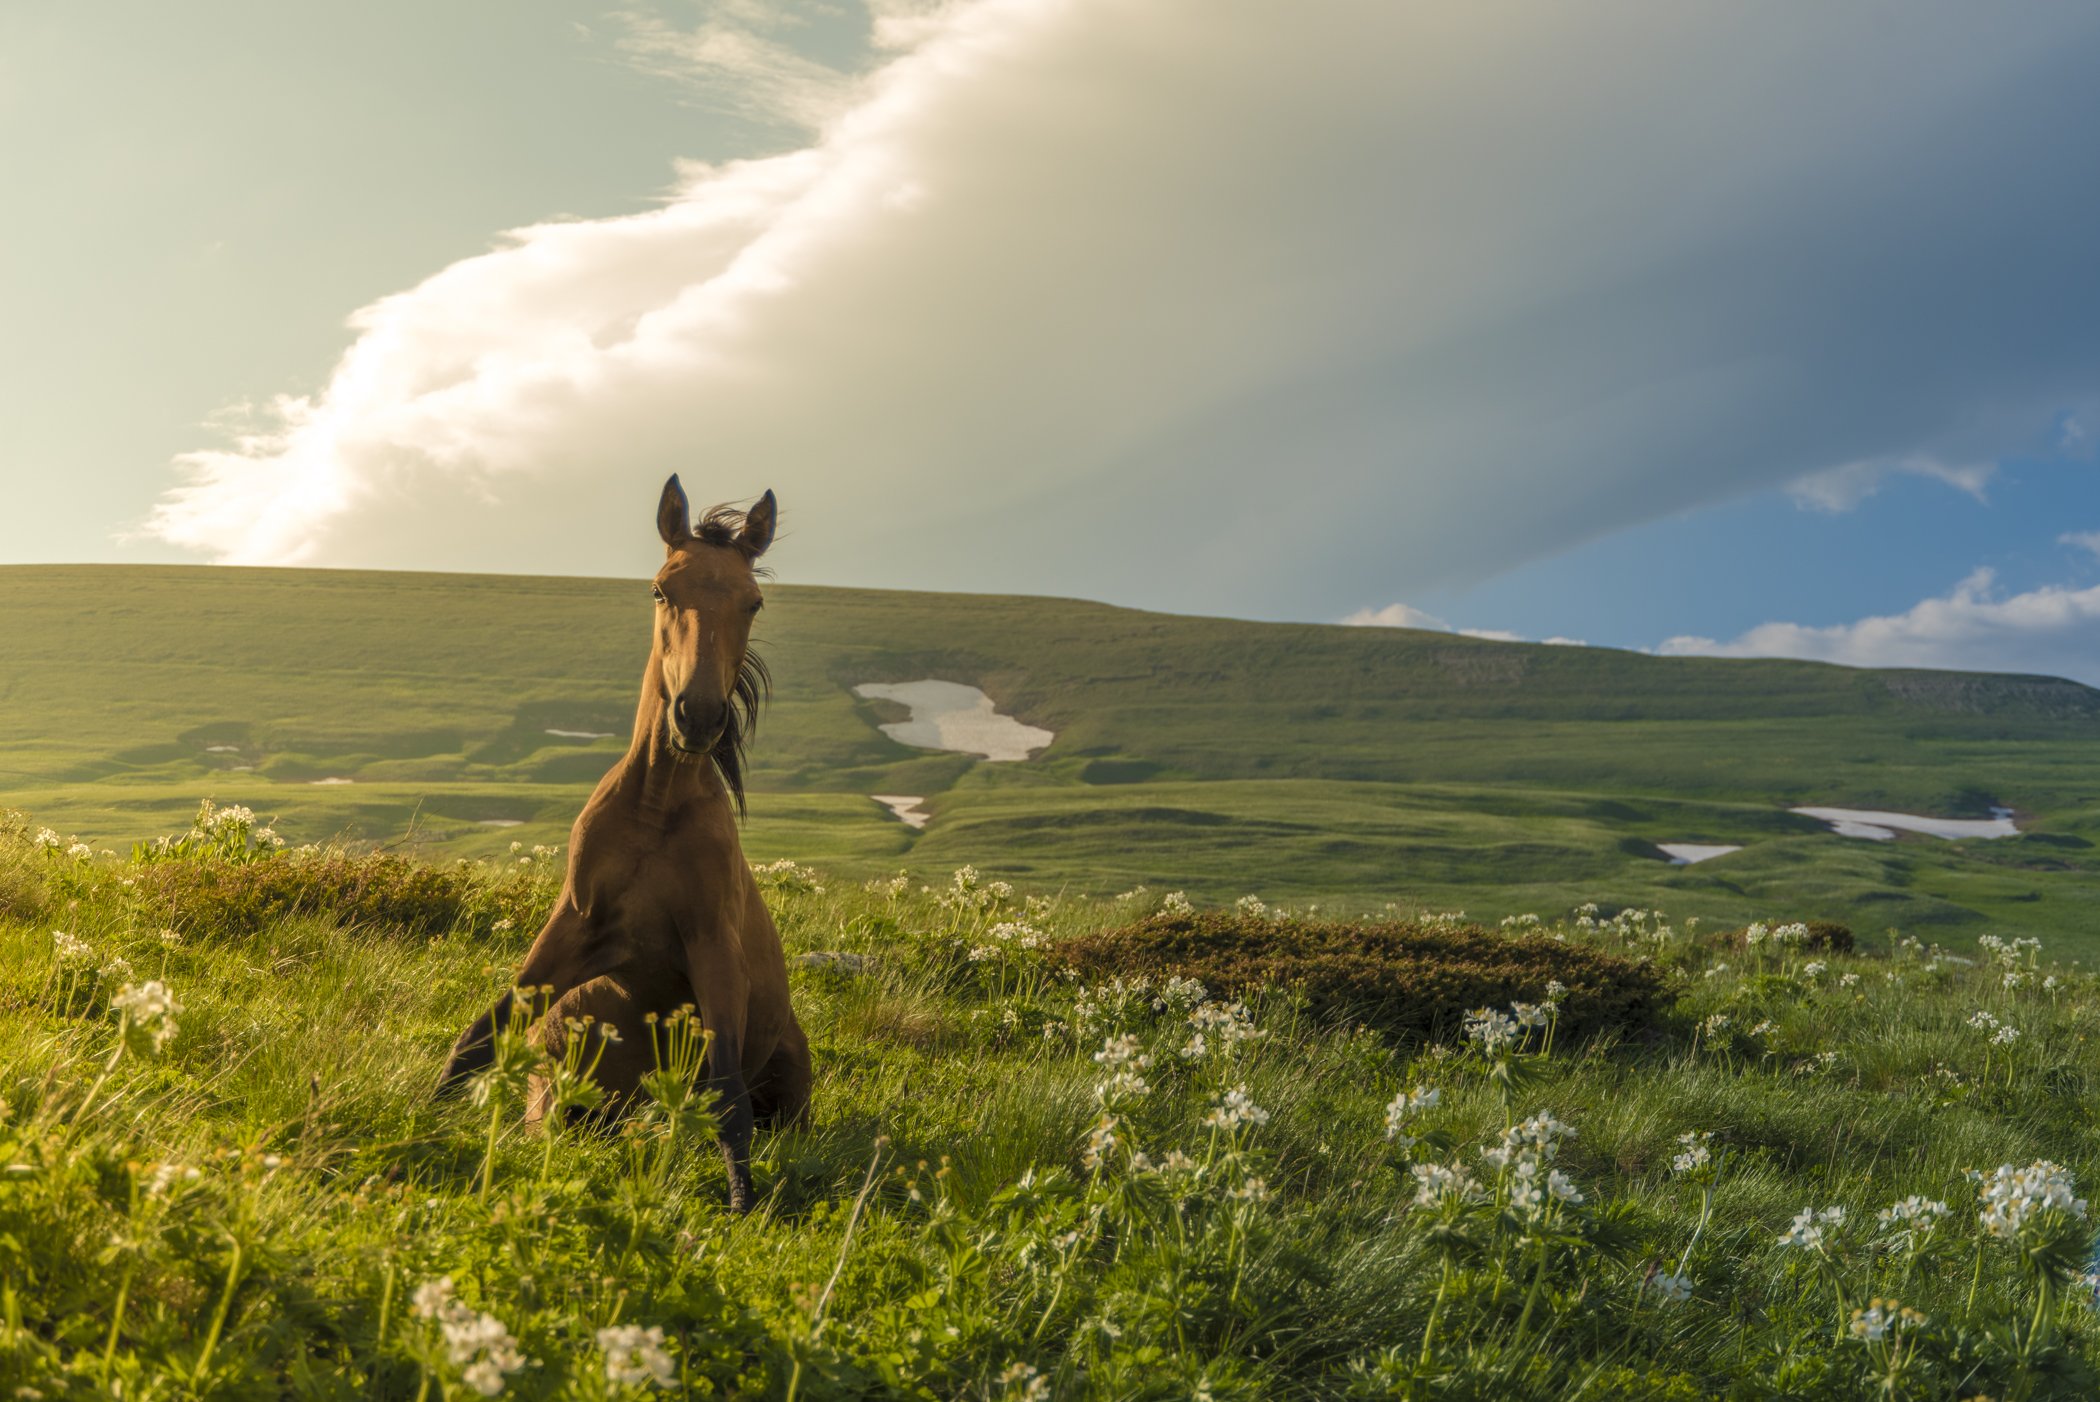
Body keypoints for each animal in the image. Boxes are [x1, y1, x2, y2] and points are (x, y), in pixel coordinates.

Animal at [436, 476, 810, 1208]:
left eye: (752, 602)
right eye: (661, 590)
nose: (698, 716)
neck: (655, 809)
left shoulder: (712, 950)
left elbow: (726, 1095)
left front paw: (742, 1204)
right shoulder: (575, 930)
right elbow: (480, 1034)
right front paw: (405, 1112)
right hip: (558, 1095)